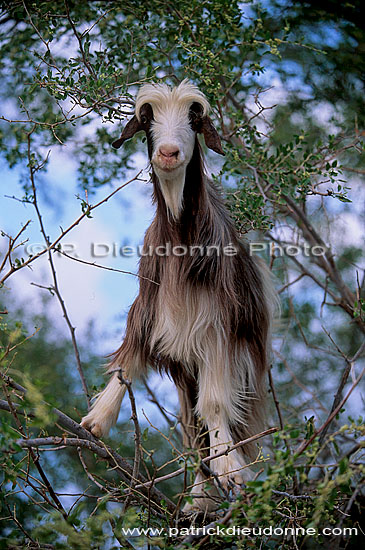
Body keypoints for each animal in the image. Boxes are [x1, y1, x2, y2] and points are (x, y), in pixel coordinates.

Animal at [81, 81, 274, 512]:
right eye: (148, 118)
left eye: (193, 119)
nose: (169, 153)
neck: (181, 240)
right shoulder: (149, 308)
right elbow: (129, 357)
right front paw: (98, 419)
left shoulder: (218, 327)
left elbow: (216, 405)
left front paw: (232, 471)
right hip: (187, 373)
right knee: (191, 428)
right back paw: (199, 499)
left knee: (214, 419)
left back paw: (208, 490)